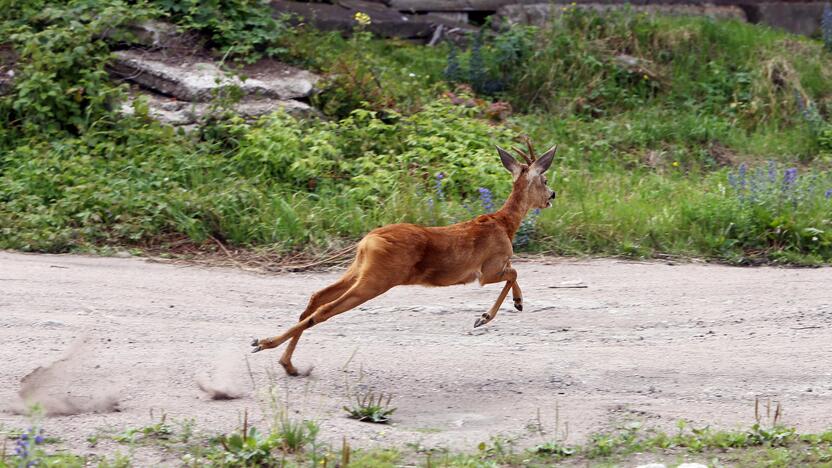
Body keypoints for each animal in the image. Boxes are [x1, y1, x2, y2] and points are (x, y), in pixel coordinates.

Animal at [250, 141, 556, 374]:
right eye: (544, 179)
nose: (552, 195)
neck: (505, 224)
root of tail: (368, 240)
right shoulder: (487, 269)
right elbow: (514, 272)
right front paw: (487, 316)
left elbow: (514, 274)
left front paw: (515, 304)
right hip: (378, 277)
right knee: (324, 309)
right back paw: (264, 344)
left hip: (359, 269)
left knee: (315, 298)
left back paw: (287, 363)